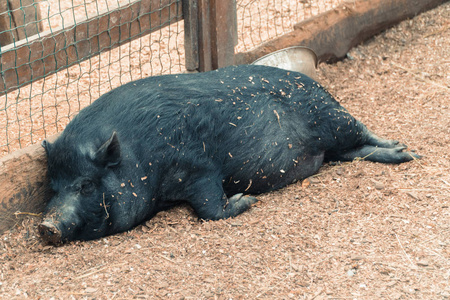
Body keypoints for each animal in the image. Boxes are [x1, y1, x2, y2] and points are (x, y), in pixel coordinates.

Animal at [37, 65, 418, 244]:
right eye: (53, 187)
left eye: (86, 185)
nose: (46, 226)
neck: (139, 154)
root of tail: (315, 83)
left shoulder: (199, 168)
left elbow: (210, 209)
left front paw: (247, 200)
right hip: (336, 140)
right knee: (352, 154)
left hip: (335, 117)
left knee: (366, 133)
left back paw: (407, 152)